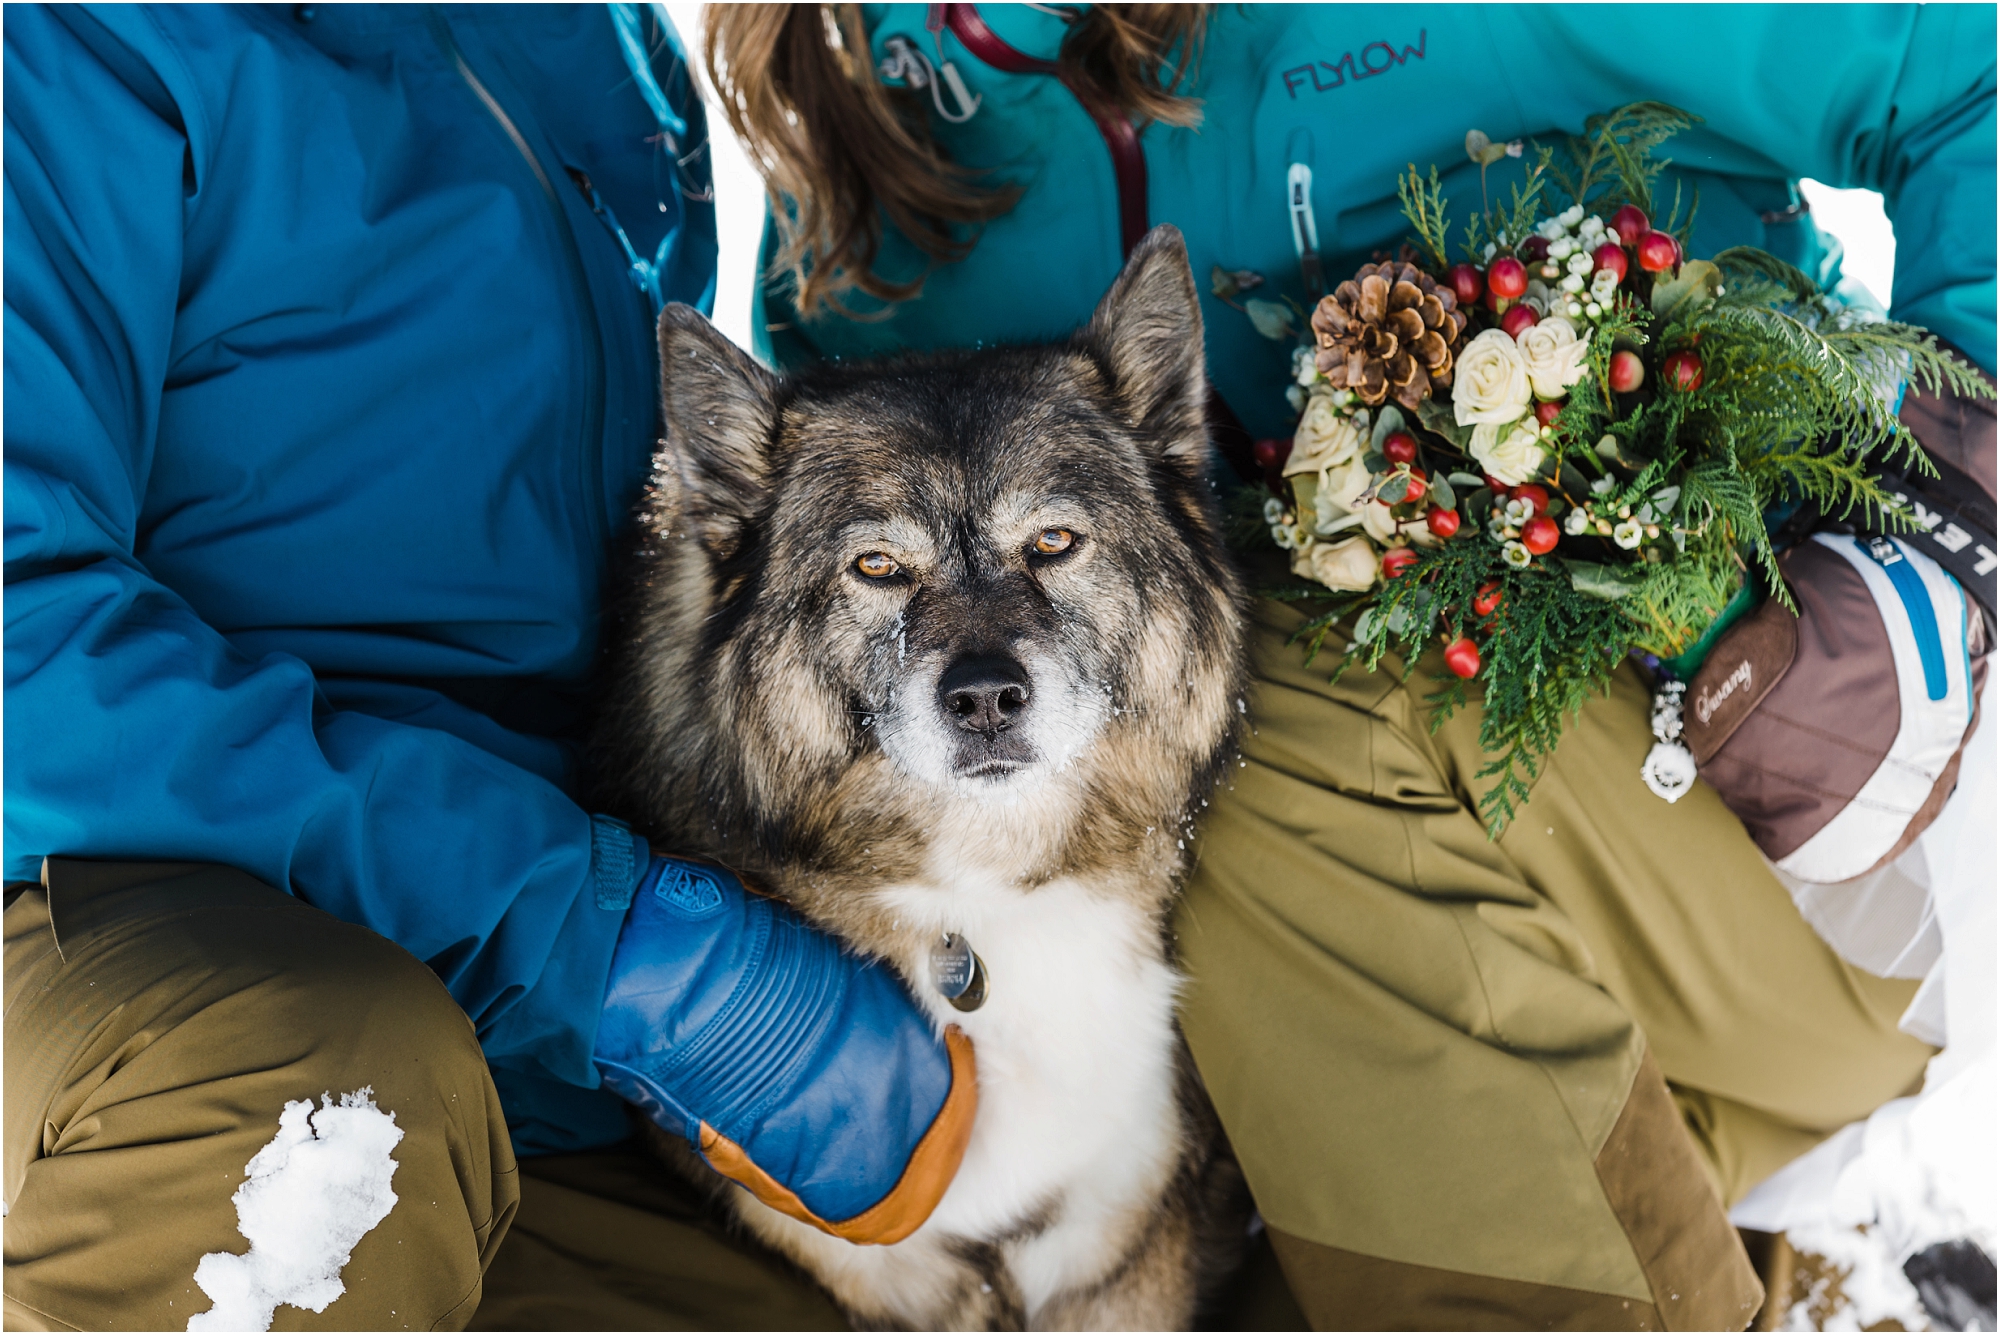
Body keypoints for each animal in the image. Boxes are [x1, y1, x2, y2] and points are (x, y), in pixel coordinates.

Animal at [596, 226, 1248, 1327]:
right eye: (876, 567)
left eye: (1053, 542)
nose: (985, 697)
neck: (986, 902)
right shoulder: (896, 1282)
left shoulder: (1124, 1252)